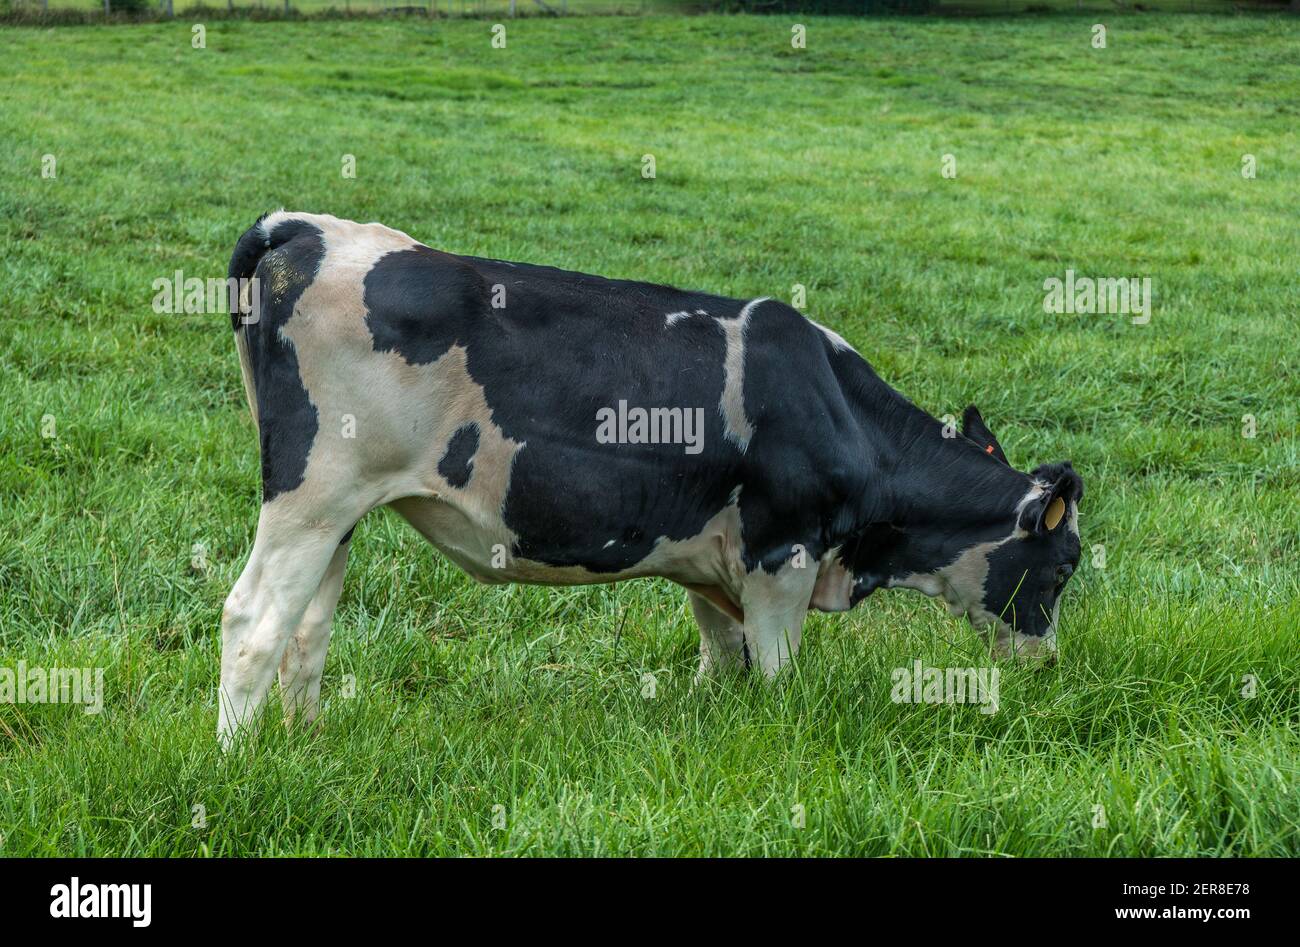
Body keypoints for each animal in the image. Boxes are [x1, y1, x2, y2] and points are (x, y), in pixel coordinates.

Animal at [218, 211, 1083, 744]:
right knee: (253, 620)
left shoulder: (709, 556)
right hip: (312, 492)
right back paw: (237, 759)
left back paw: (307, 740)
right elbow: (777, 671)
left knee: (307, 628)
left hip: (340, 510)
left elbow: (723, 656)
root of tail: (307, 227)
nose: (1048, 666)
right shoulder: (783, 552)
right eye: (1064, 567)